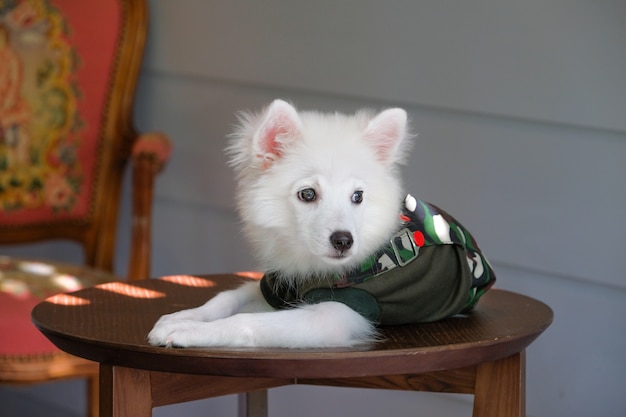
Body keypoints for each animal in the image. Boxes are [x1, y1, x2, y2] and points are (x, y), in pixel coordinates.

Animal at [149, 100, 494, 348]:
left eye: (358, 196)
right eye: (308, 194)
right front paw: (182, 318)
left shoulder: (335, 314)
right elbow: (226, 297)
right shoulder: (275, 286)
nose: (343, 241)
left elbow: (249, 323)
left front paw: (188, 332)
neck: (312, 268)